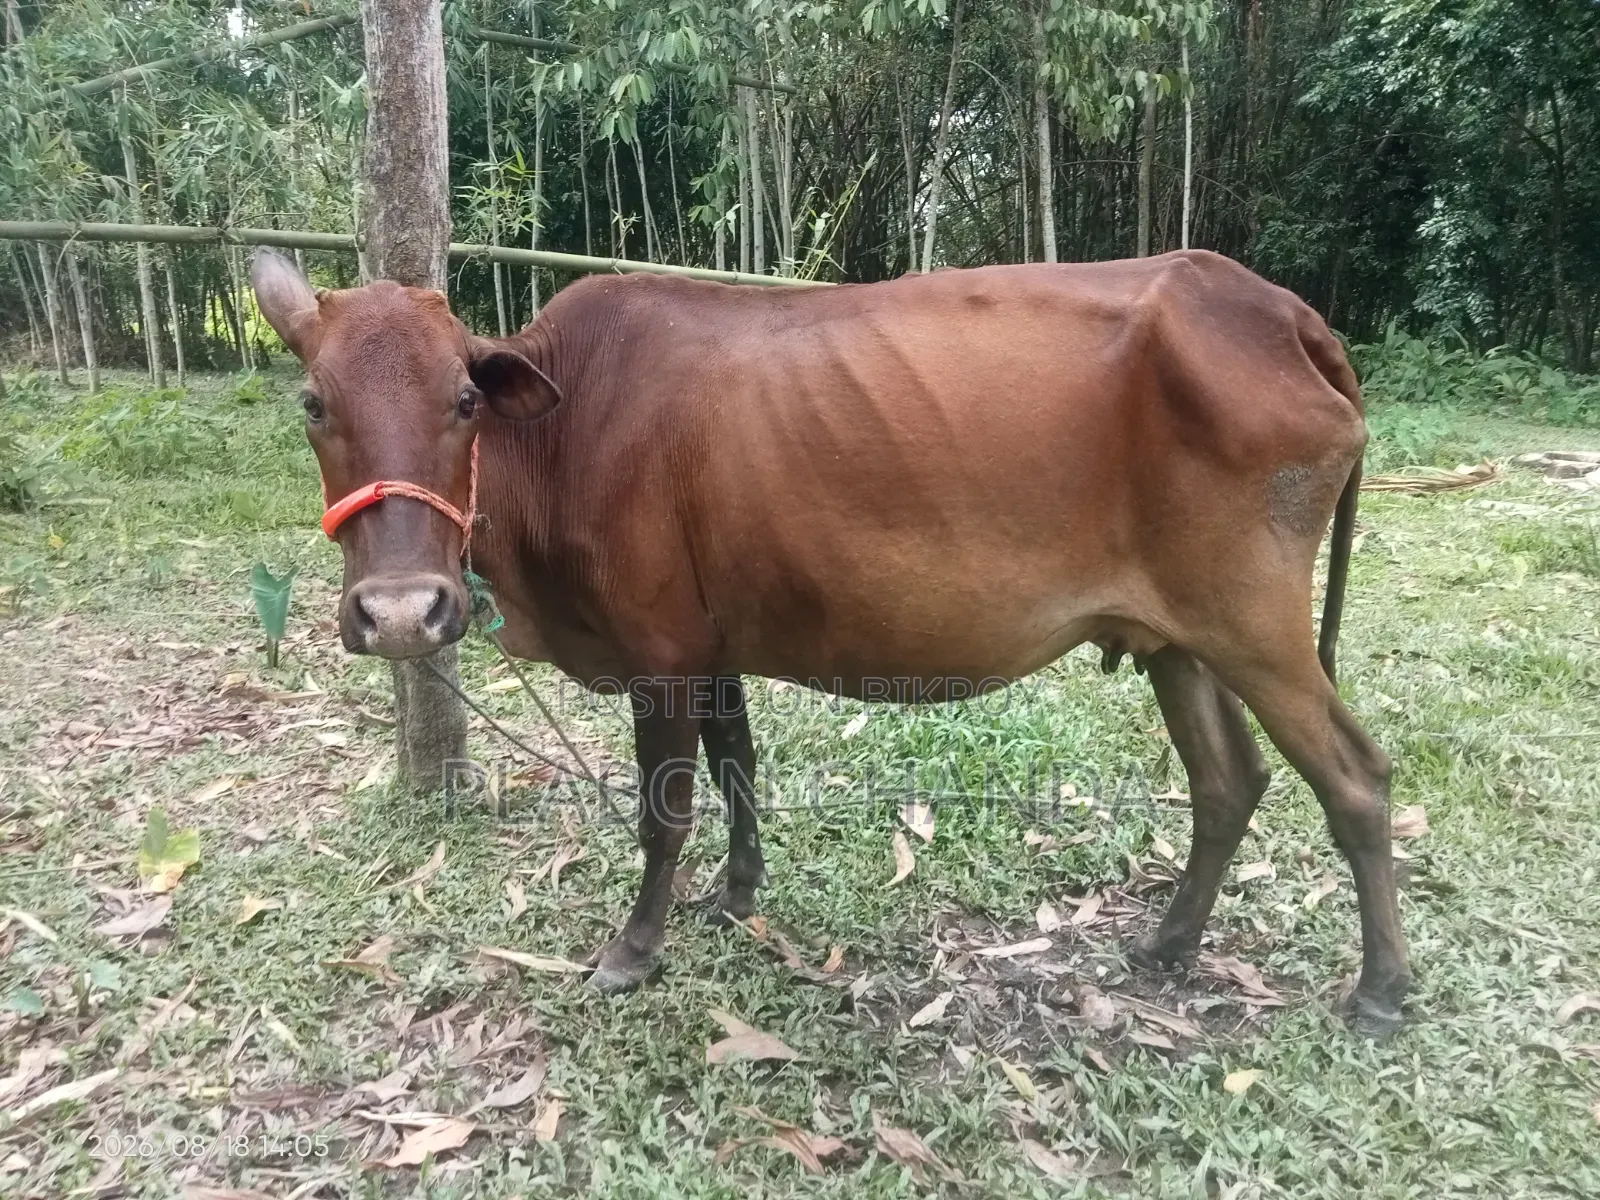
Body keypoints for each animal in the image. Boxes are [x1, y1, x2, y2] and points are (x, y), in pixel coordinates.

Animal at [251, 249, 1411, 1033]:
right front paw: (736, 895)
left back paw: (1381, 991)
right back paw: (1168, 945)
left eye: (462, 400)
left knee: (1355, 779)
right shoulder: (711, 646)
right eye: (312, 402)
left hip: (1254, 623)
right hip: (1182, 638)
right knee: (1228, 781)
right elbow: (738, 766)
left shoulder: (658, 655)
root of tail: (1278, 310)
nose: (404, 612)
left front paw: (635, 949)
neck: (556, 437)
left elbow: (664, 812)